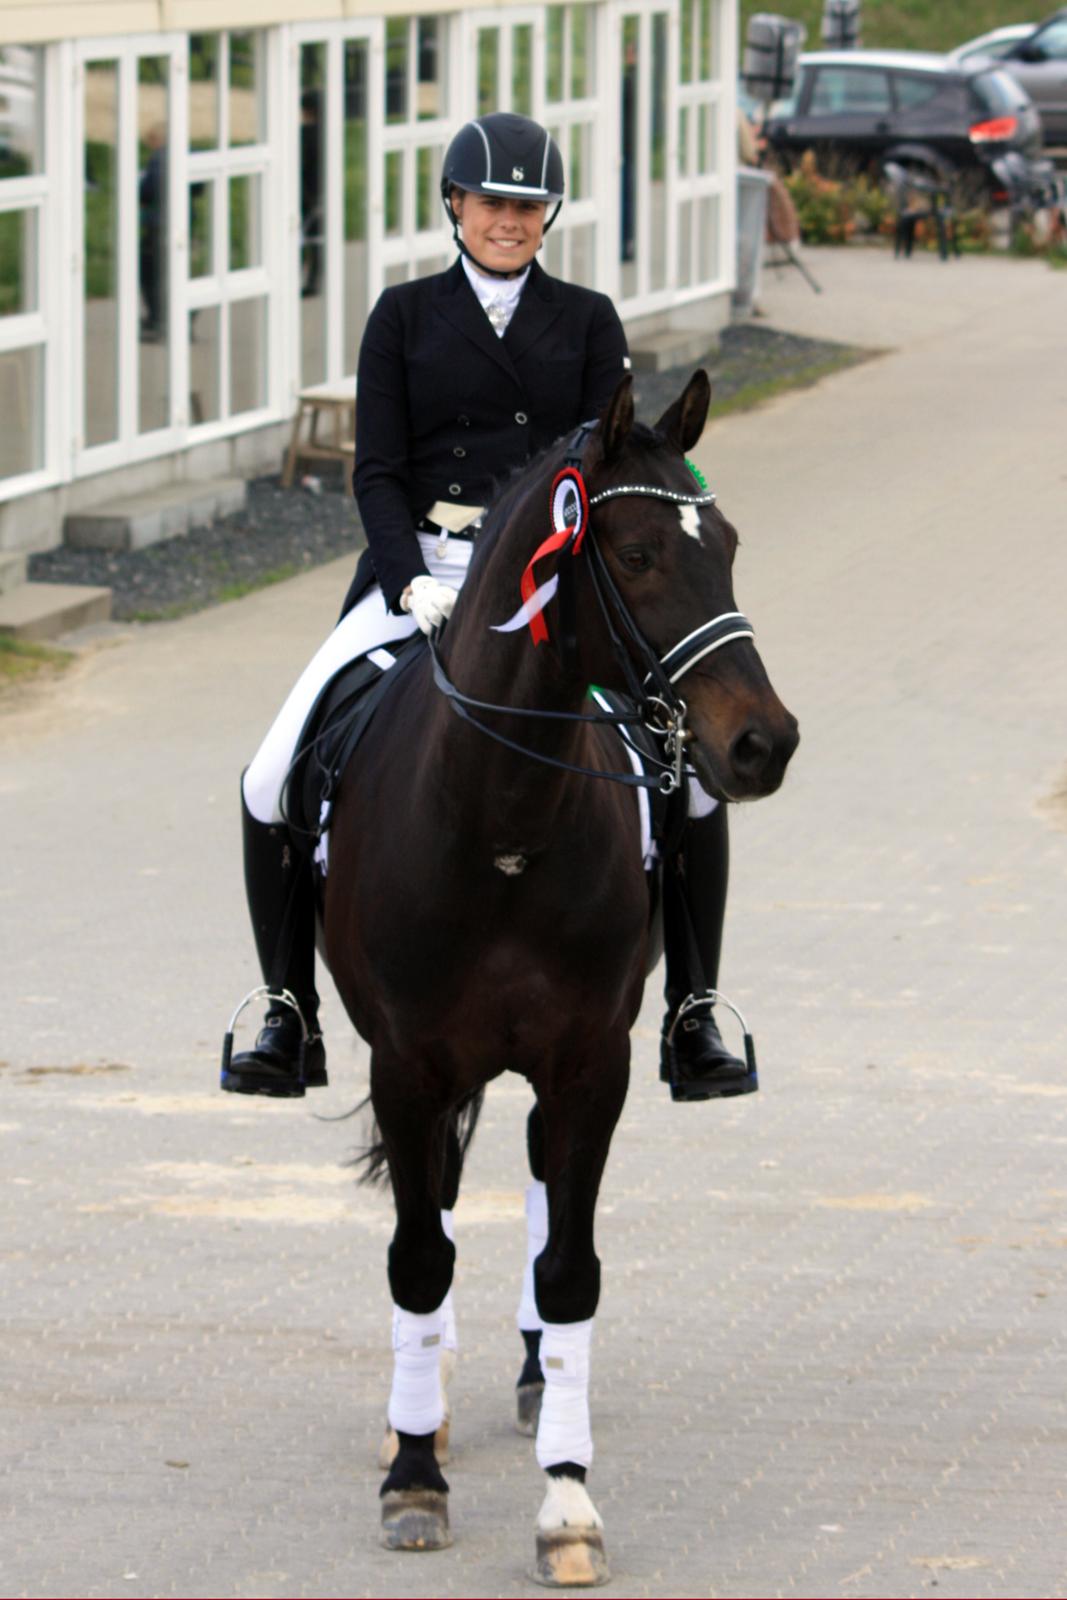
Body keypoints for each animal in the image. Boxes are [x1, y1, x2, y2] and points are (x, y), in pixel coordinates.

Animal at [321, 368, 796, 1580]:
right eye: (630, 553)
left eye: (728, 542)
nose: (764, 744)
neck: (501, 820)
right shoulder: (407, 1064)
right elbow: (418, 1258)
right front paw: (414, 1475)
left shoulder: (589, 1061)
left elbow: (570, 1269)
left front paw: (568, 1502)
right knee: (436, 1209)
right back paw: (424, 1406)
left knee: (533, 1195)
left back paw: (533, 1383)